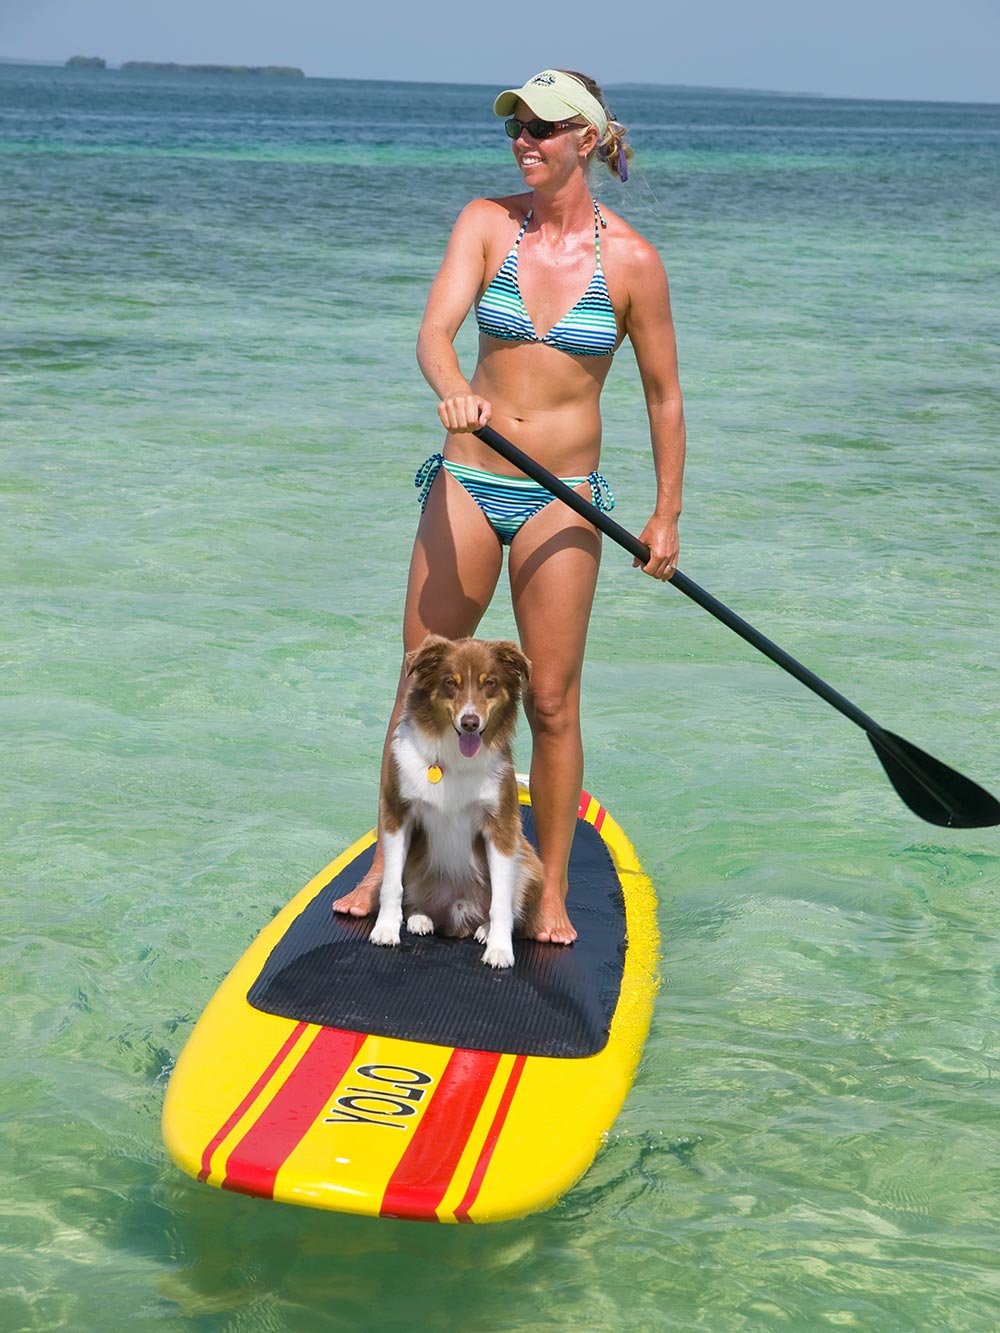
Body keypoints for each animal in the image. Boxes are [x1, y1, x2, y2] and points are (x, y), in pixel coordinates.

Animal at [368, 634, 541, 970]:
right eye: (451, 682)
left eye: (490, 683)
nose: (470, 722)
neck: (453, 759)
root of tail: (457, 915)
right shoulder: (398, 814)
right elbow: (392, 883)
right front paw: (385, 928)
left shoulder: (501, 826)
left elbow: (501, 900)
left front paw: (500, 949)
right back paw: (420, 917)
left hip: (528, 861)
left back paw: (485, 929)